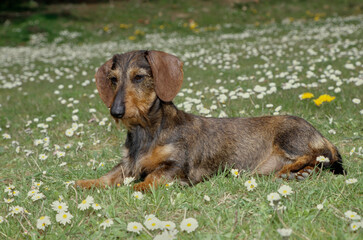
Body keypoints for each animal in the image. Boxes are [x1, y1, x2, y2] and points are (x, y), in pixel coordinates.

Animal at [75, 49, 346, 190]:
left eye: (139, 77)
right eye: (113, 79)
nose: (116, 112)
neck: (147, 131)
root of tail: (321, 135)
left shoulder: (177, 168)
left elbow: (151, 178)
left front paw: (137, 188)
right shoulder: (127, 165)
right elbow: (108, 177)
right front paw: (82, 183)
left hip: (291, 137)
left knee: (318, 155)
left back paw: (291, 170)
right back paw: (298, 174)